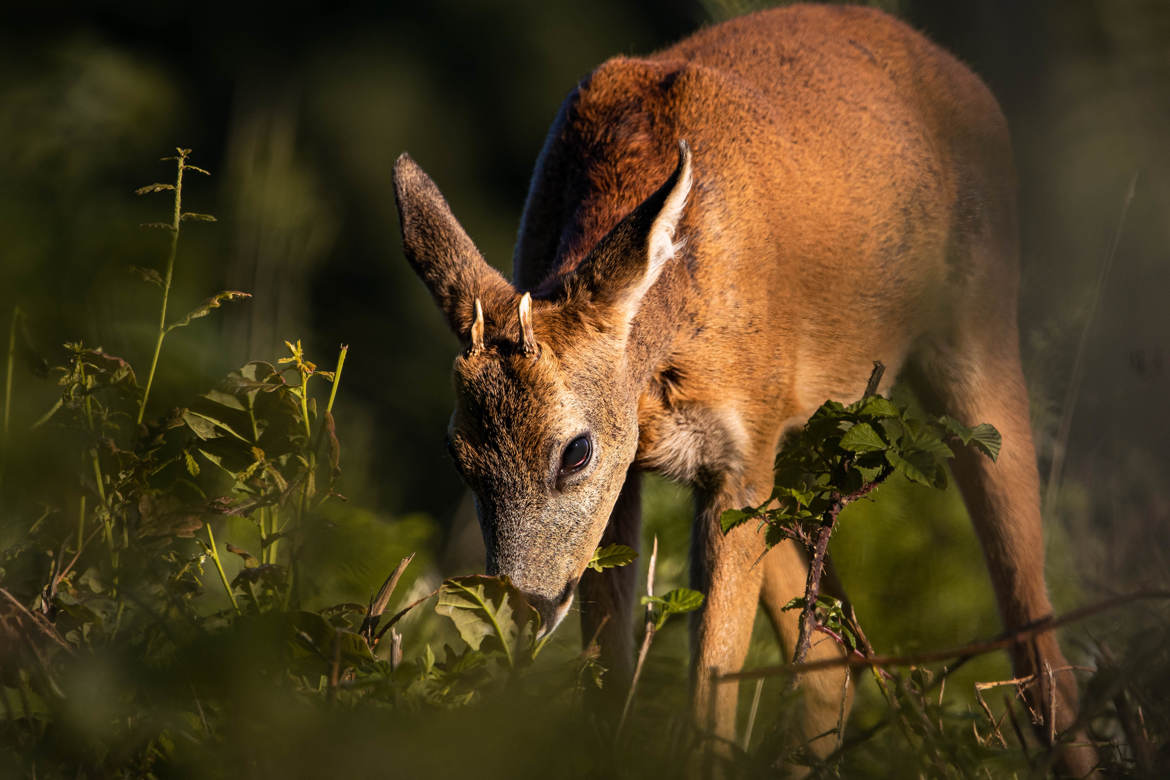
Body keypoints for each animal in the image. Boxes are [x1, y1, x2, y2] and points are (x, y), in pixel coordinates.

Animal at [393, 4, 1095, 776]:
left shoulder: (736, 452)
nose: (521, 610)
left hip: (975, 335)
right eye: (459, 455)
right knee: (834, 652)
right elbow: (610, 680)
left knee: (1038, 646)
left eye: (575, 451)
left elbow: (711, 694)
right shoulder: (660, 470)